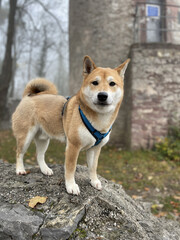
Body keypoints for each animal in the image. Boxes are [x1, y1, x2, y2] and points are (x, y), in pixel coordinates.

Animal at [11, 56, 130, 195]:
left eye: (112, 84)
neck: (98, 120)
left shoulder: (95, 148)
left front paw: (94, 181)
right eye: (95, 82)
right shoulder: (73, 146)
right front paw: (71, 186)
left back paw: (45, 169)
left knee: (39, 155)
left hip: (43, 139)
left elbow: (93, 167)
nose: (102, 95)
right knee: (19, 153)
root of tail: (29, 96)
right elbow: (70, 168)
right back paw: (20, 169)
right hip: (25, 137)